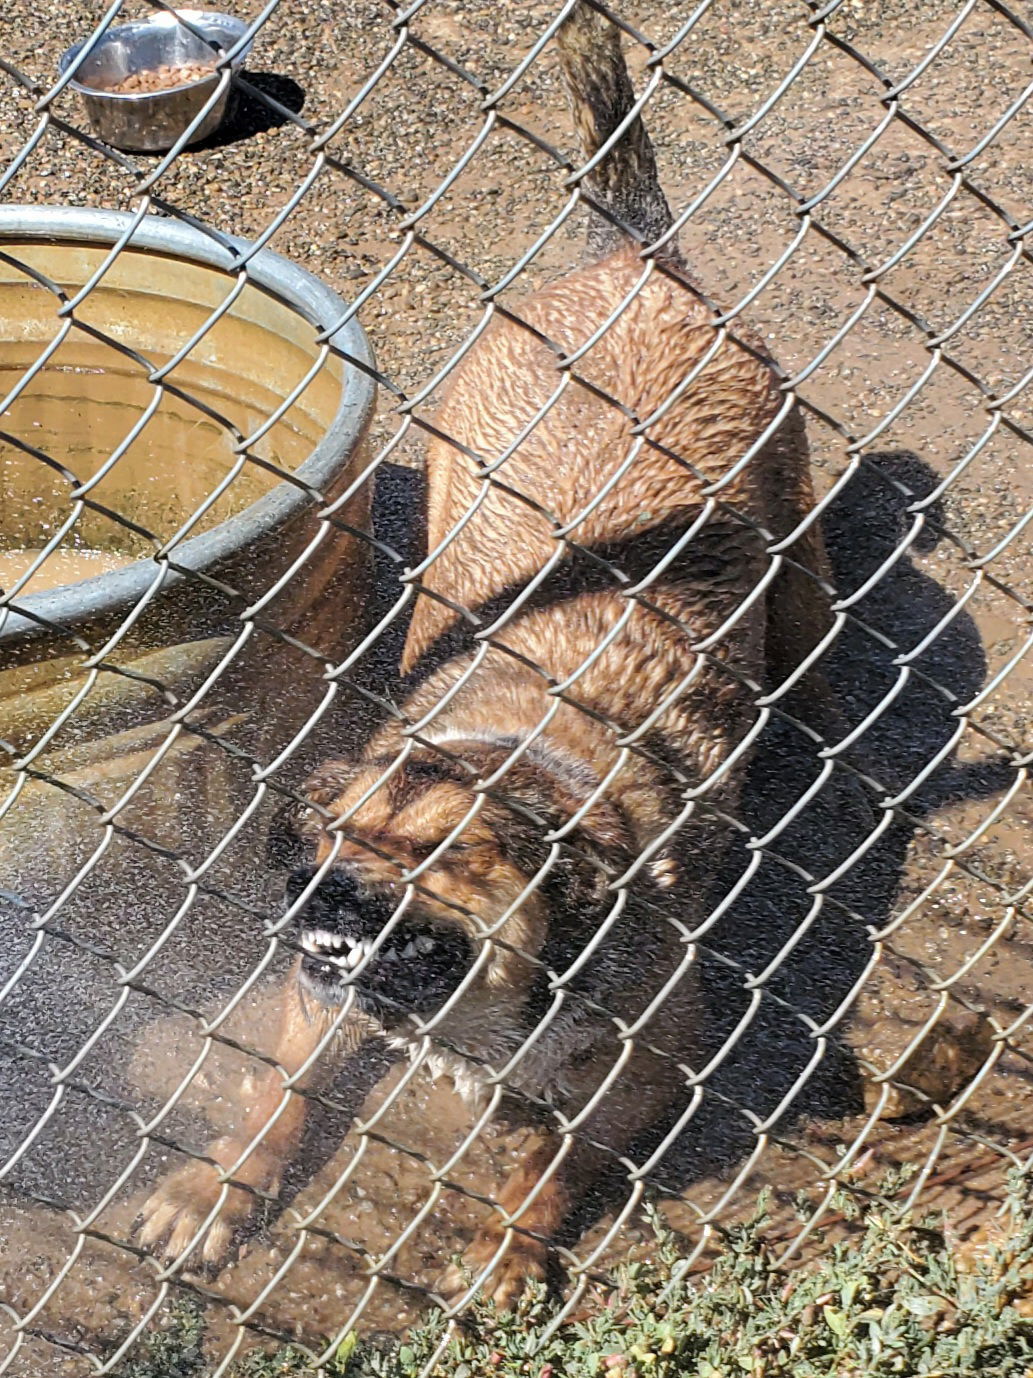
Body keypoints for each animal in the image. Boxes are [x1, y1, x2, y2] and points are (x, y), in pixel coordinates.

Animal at [137, 0, 837, 1306]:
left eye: (442, 853)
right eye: (327, 836)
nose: (317, 888)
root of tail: (636, 264)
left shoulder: (646, 1064)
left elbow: (549, 1159)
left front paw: (511, 1246)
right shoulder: (314, 997)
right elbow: (276, 1089)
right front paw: (218, 1189)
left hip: (799, 543)